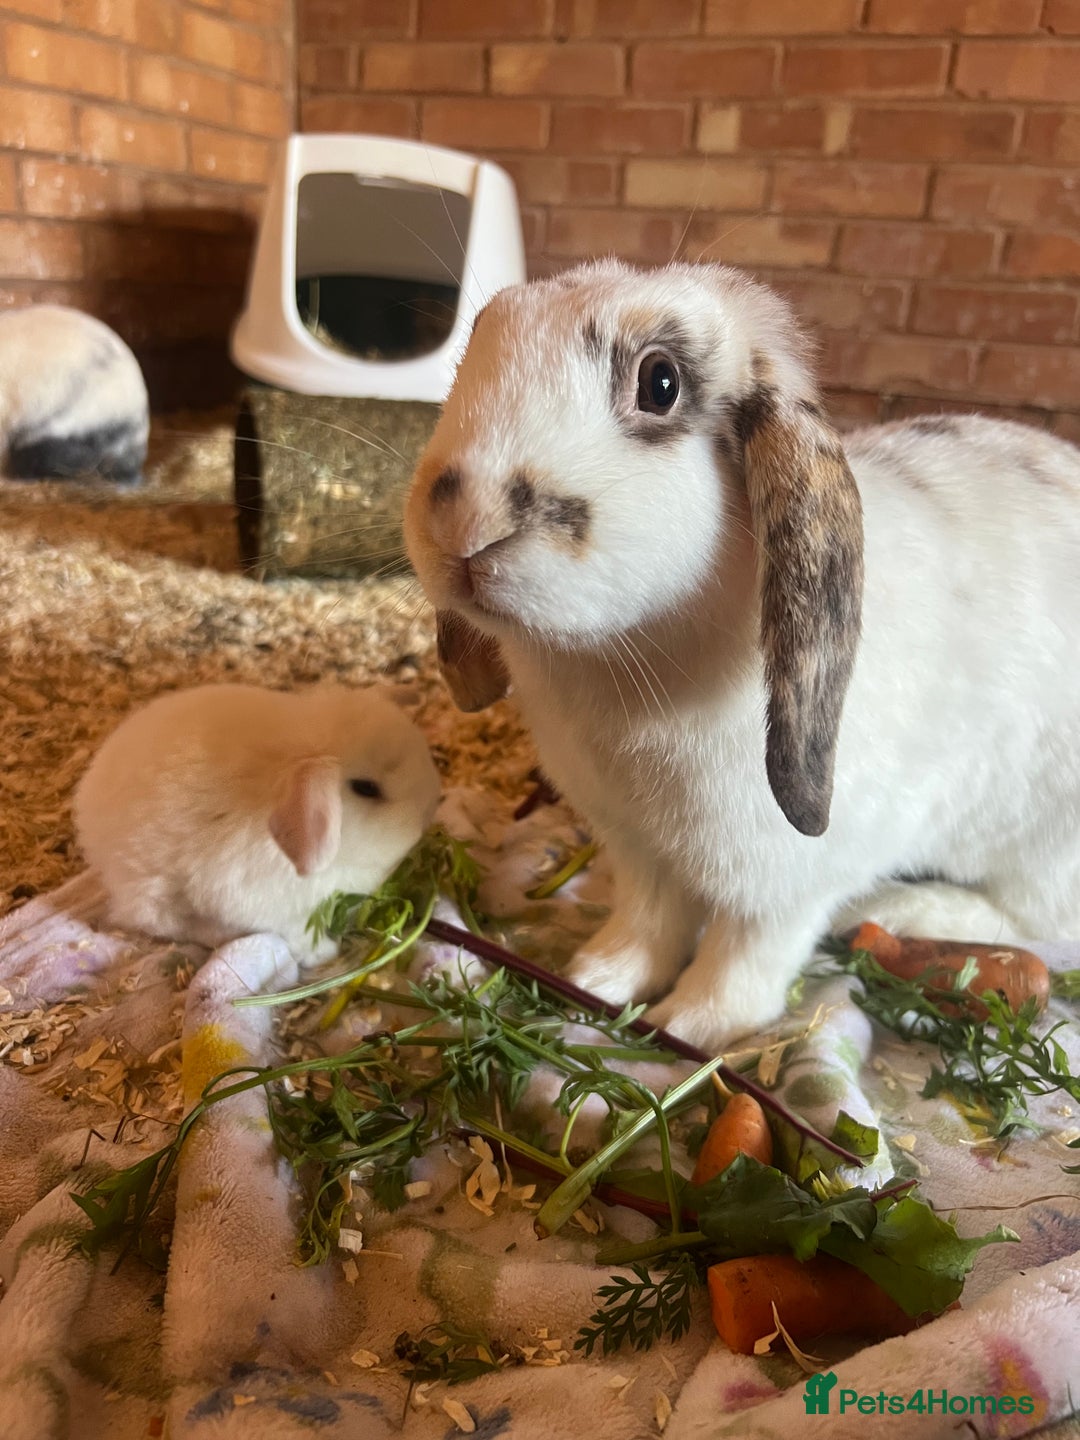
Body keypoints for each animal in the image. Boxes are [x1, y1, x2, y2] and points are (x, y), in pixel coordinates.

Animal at [73, 682, 441, 962]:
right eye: (366, 789)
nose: (430, 809)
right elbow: (299, 937)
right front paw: (324, 954)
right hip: (148, 887)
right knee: (154, 919)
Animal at [403, 258, 1080, 1052]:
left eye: (660, 382)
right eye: (473, 347)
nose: (462, 521)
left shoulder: (787, 882)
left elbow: (746, 955)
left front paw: (692, 1024)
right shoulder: (637, 850)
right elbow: (648, 922)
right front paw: (597, 980)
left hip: (1043, 843)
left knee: (1040, 921)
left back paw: (902, 910)